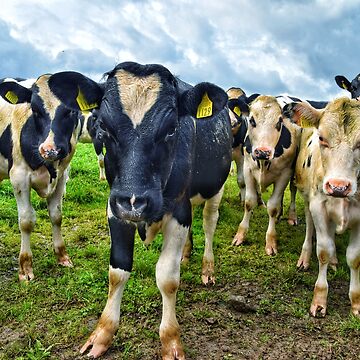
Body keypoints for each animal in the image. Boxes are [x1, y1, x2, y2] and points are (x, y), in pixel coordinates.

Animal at [0, 75, 87, 282]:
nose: (50, 149)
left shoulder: (62, 176)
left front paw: (62, 256)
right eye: (35, 110)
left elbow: (56, 215)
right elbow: (26, 221)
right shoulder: (19, 176)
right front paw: (25, 268)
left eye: (71, 110)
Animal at [46, 62, 232, 360]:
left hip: (216, 188)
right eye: (103, 126)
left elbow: (167, 278)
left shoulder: (178, 211)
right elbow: (117, 271)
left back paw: (207, 267)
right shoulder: (115, 208)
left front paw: (171, 340)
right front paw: (103, 333)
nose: (135, 202)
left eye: (172, 128)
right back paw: (186, 255)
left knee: (208, 223)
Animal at [231, 94, 300, 255]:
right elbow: (249, 202)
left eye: (279, 122)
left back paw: (291, 216)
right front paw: (240, 235)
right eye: (251, 120)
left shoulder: (285, 174)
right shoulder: (247, 169)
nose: (262, 152)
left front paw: (271, 241)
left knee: (292, 190)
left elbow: (272, 207)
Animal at [282, 97, 360, 316]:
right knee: (310, 228)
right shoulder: (318, 205)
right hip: (310, 201)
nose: (338, 186)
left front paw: (356, 303)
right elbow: (323, 250)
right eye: (322, 138)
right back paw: (305, 258)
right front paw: (319, 299)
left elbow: (354, 258)